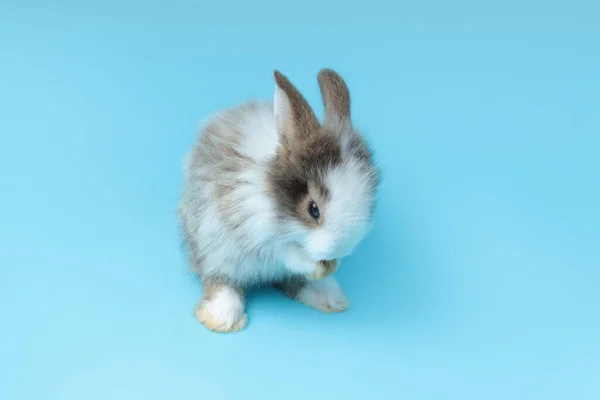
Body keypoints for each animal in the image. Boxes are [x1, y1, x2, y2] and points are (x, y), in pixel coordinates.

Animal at [178, 68, 382, 332]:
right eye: (313, 209)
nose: (336, 249)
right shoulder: (251, 229)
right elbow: (286, 253)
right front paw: (314, 266)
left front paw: (329, 268)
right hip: (210, 247)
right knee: (221, 279)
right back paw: (222, 318)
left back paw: (329, 297)